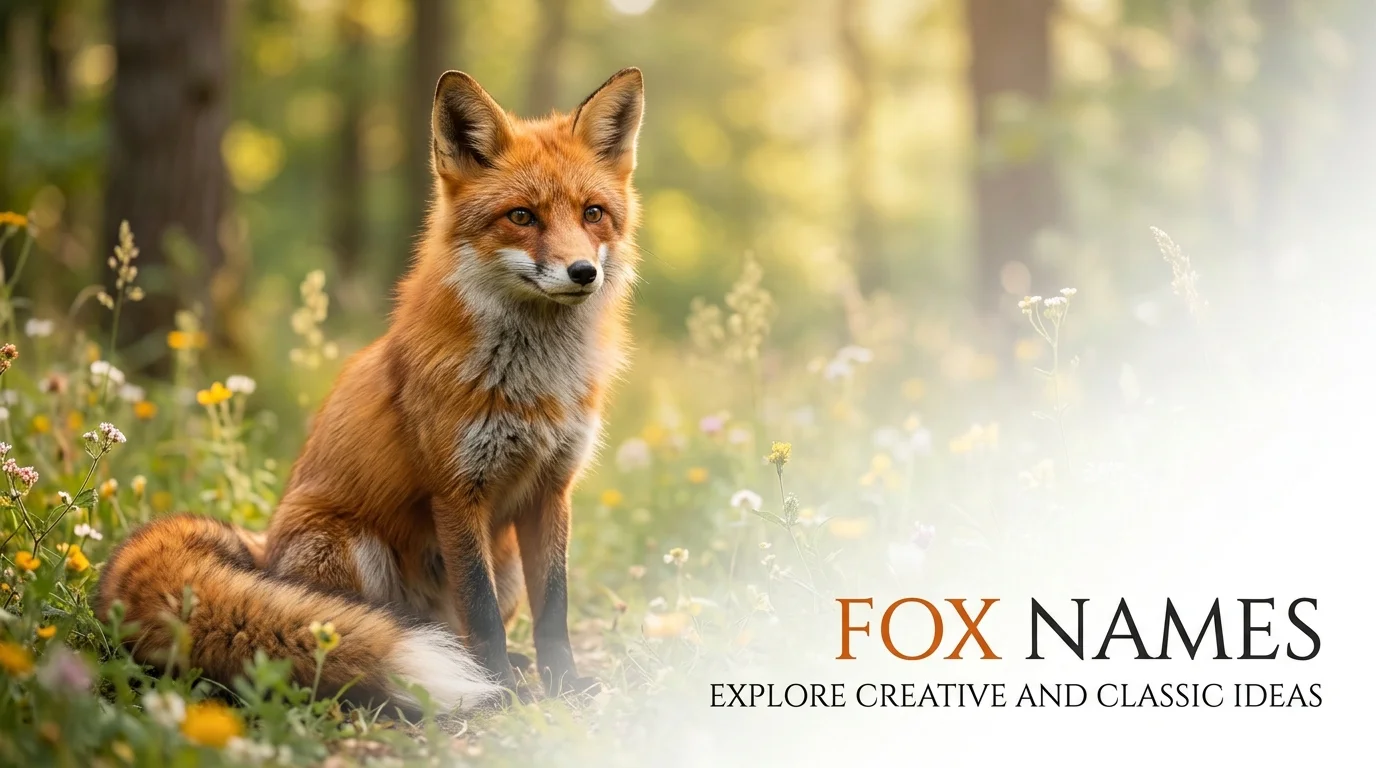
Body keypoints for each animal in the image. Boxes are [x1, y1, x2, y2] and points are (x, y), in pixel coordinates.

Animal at [97, 67, 646, 712]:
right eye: (522, 217)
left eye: (593, 213)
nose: (584, 272)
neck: (535, 384)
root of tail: (265, 551)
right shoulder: (457, 491)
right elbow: (482, 612)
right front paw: (498, 689)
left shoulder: (552, 489)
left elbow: (553, 609)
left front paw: (564, 684)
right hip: (356, 548)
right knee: (355, 628)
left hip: (503, 561)